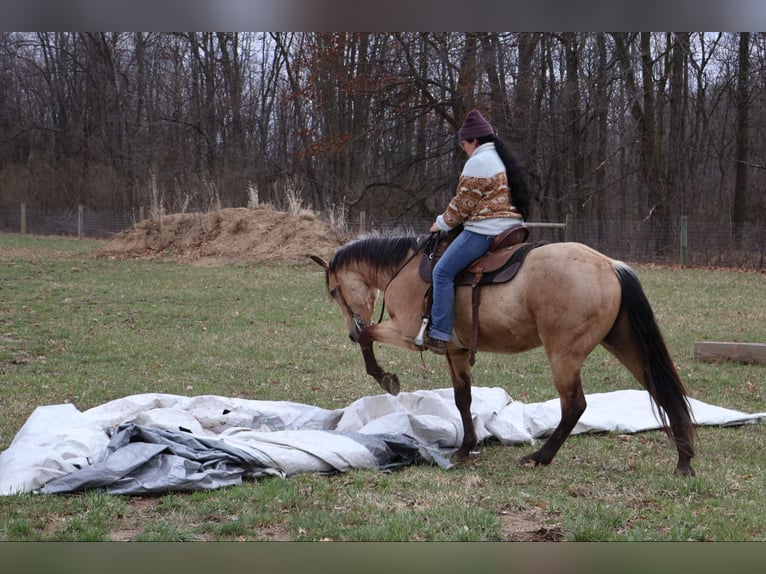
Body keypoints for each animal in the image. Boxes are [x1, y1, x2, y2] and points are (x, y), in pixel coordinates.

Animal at [310, 231, 696, 476]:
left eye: (333, 291)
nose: (348, 331)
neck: (404, 269)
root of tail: (608, 265)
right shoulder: (456, 352)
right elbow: (463, 399)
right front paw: (465, 448)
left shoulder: (406, 331)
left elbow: (368, 337)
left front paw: (386, 378)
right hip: (624, 343)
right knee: (662, 390)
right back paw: (684, 460)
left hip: (564, 355)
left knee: (575, 405)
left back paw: (540, 457)